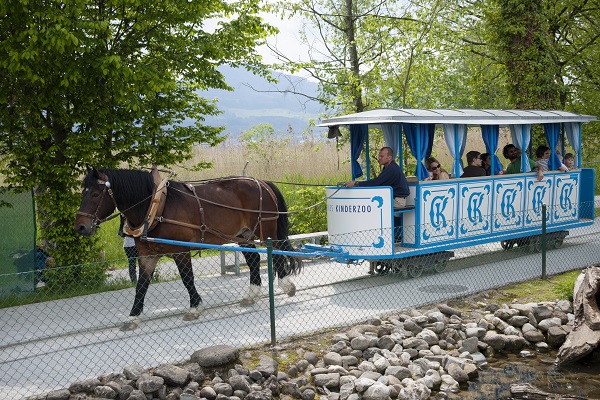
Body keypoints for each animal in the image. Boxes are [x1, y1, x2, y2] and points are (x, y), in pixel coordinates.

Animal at [73, 166, 302, 330]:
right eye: (82, 192)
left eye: (96, 194)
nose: (80, 227)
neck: (156, 206)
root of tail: (261, 182)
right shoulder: (147, 256)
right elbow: (141, 285)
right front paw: (133, 316)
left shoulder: (180, 251)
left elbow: (187, 278)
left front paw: (195, 307)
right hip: (244, 235)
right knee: (253, 259)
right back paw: (252, 295)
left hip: (266, 231)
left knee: (277, 252)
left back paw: (286, 285)